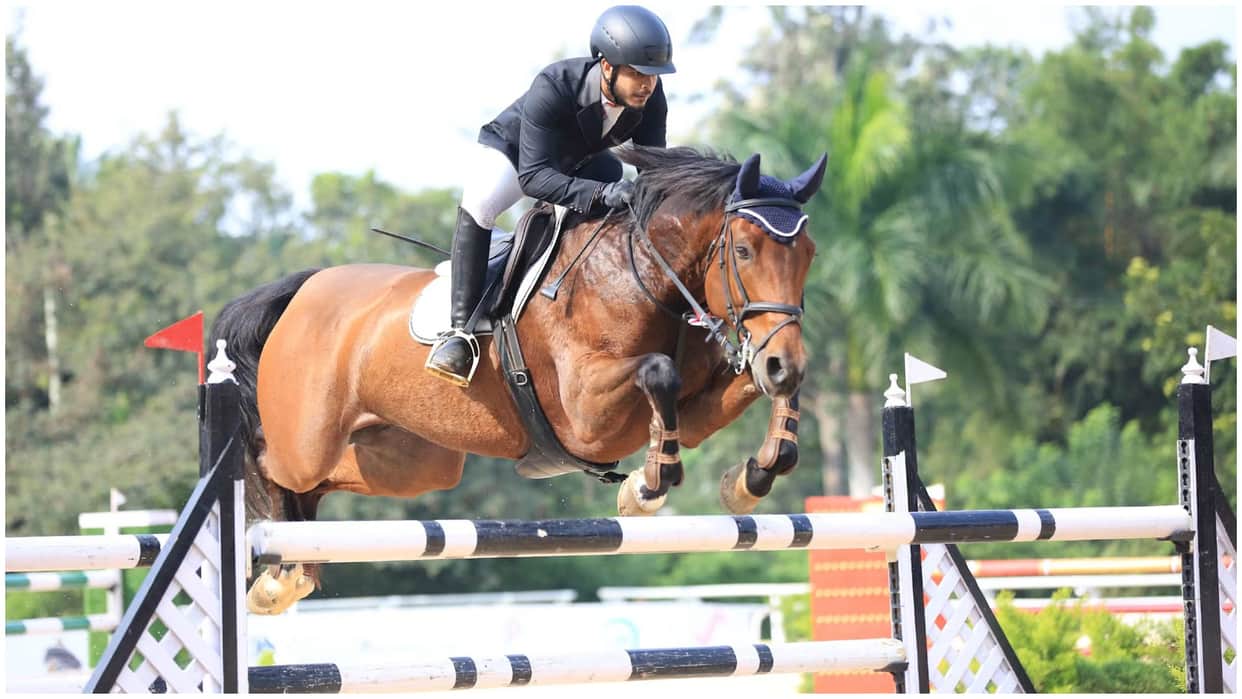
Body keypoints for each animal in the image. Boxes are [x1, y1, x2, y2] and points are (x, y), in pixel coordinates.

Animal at [211, 146, 826, 614]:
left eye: (810, 255)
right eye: (743, 250)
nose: (785, 361)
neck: (641, 277)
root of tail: (305, 288)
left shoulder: (694, 406)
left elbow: (725, 397)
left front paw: (752, 474)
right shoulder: (588, 420)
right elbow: (660, 372)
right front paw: (646, 486)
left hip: (412, 463)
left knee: (320, 486)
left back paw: (292, 568)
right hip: (306, 441)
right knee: (271, 463)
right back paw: (274, 575)